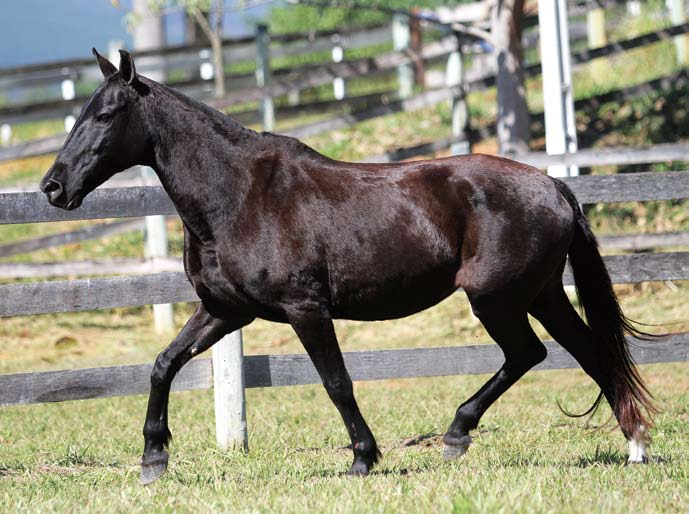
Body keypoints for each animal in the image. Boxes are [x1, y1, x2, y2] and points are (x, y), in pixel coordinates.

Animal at [40, 50, 652, 482]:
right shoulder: (223, 311)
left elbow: (336, 382)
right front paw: (153, 459)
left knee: (531, 354)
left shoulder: (305, 309)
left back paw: (459, 434)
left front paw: (363, 458)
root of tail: (554, 186)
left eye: (106, 114)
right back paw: (634, 447)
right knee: (589, 353)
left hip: (497, 299)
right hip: (541, 294)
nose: (53, 187)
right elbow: (163, 365)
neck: (238, 196)